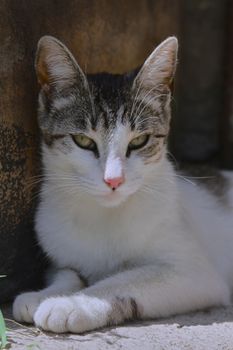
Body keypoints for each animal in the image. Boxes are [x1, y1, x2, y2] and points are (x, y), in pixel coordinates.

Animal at [12, 35, 233, 334]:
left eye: (139, 141)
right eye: (83, 141)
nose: (114, 179)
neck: (104, 215)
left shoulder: (195, 273)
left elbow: (124, 279)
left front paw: (73, 303)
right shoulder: (59, 253)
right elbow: (68, 272)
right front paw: (42, 294)